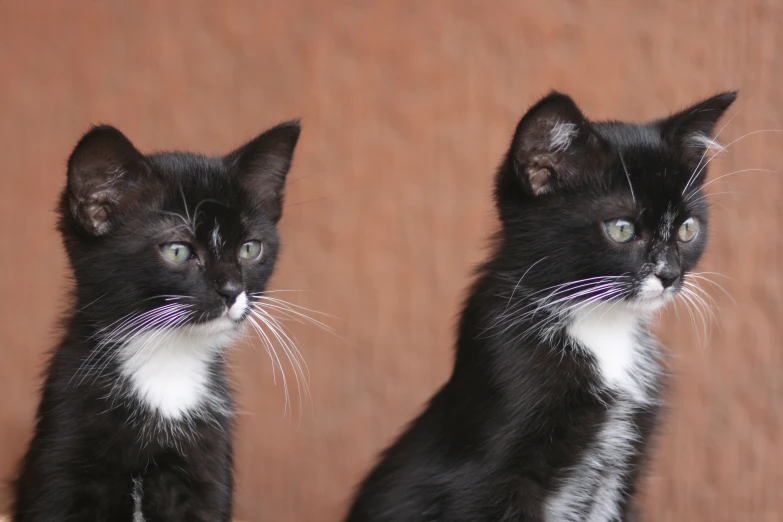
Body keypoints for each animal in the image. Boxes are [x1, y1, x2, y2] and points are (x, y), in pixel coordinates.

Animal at [13, 119, 300, 520]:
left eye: (249, 249)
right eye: (177, 251)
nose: (231, 290)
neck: (165, 363)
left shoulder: (208, 467)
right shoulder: (62, 452)